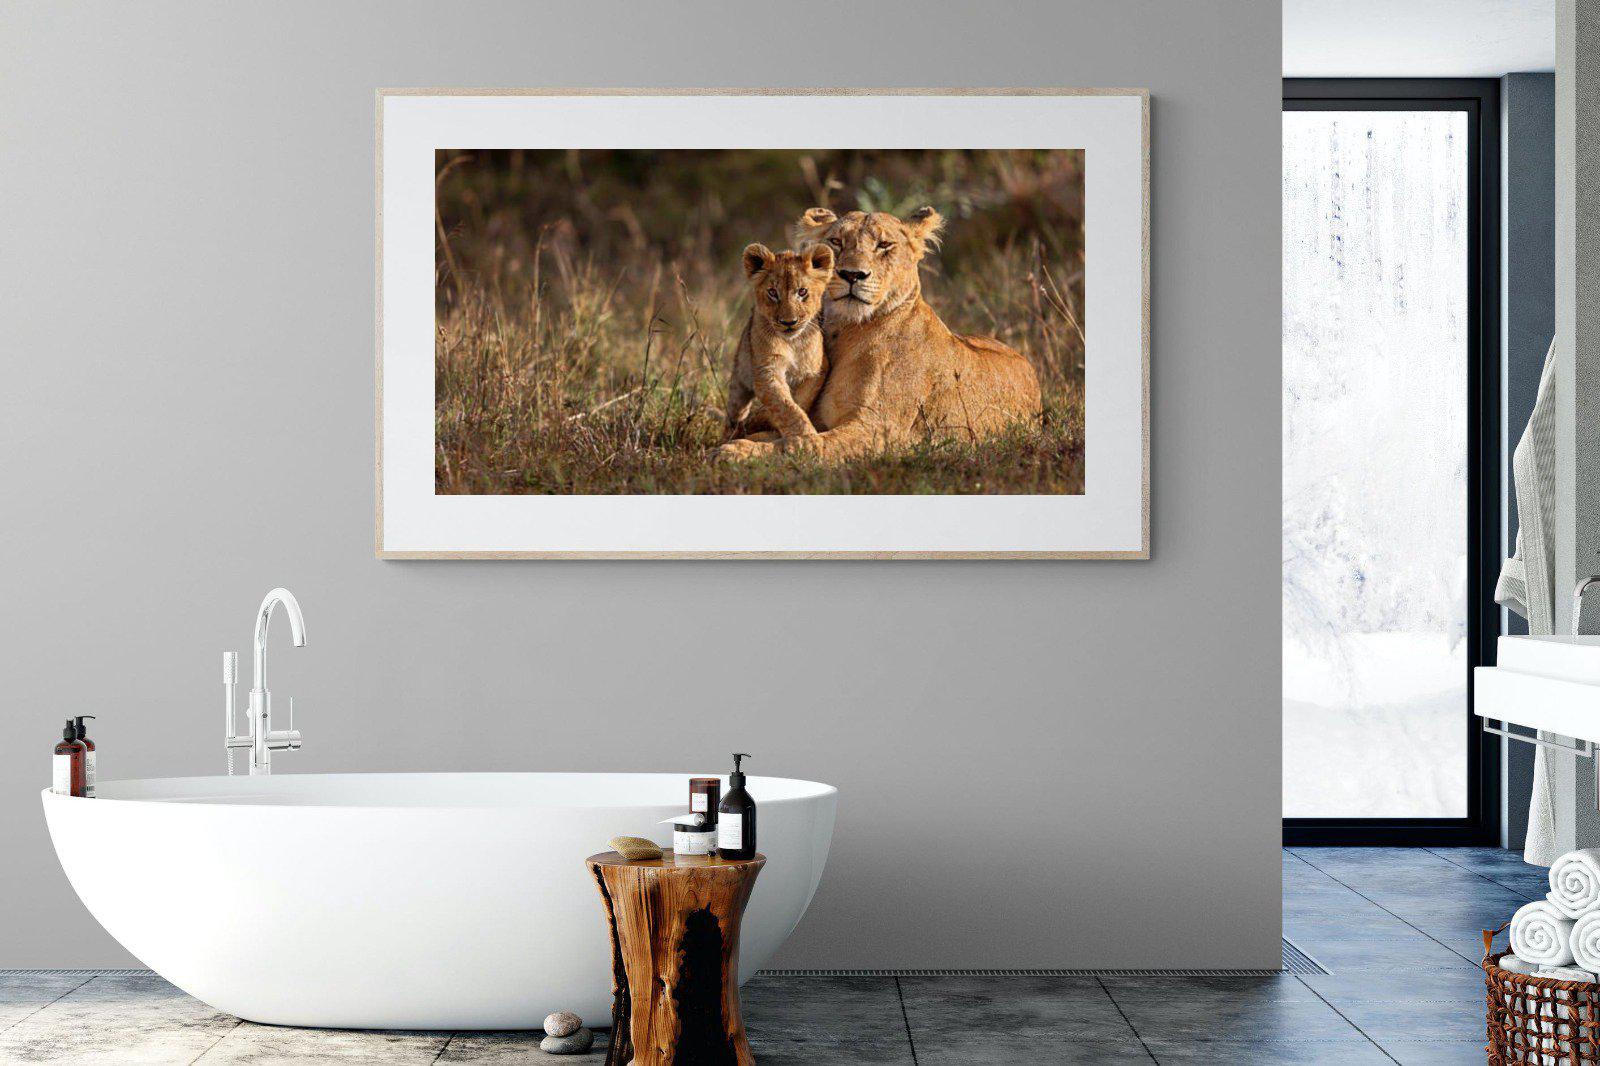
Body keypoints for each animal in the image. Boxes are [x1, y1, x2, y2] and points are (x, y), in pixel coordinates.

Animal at [724, 242, 834, 441]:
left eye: (802, 292)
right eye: (773, 292)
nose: (788, 322)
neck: (792, 343)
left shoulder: (817, 369)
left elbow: (799, 400)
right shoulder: (767, 370)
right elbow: (786, 407)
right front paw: (807, 438)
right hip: (739, 381)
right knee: (734, 413)